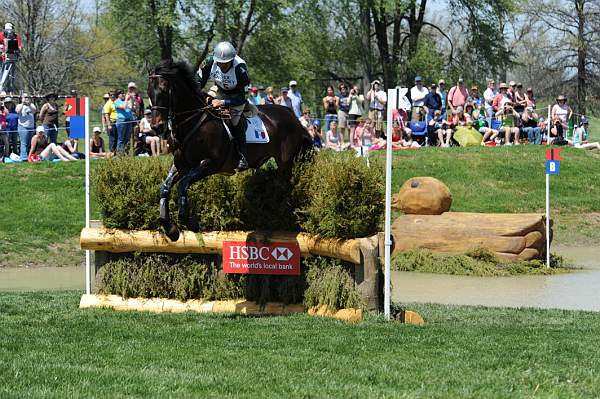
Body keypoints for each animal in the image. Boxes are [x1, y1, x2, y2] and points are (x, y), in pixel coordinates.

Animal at [147, 57, 312, 242]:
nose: (157, 127)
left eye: (164, 90)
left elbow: (183, 185)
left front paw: (190, 222)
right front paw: (170, 229)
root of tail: (293, 117)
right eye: (149, 92)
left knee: (286, 184)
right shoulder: (181, 165)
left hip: (287, 162)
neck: (194, 122)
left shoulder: (209, 164)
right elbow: (165, 187)